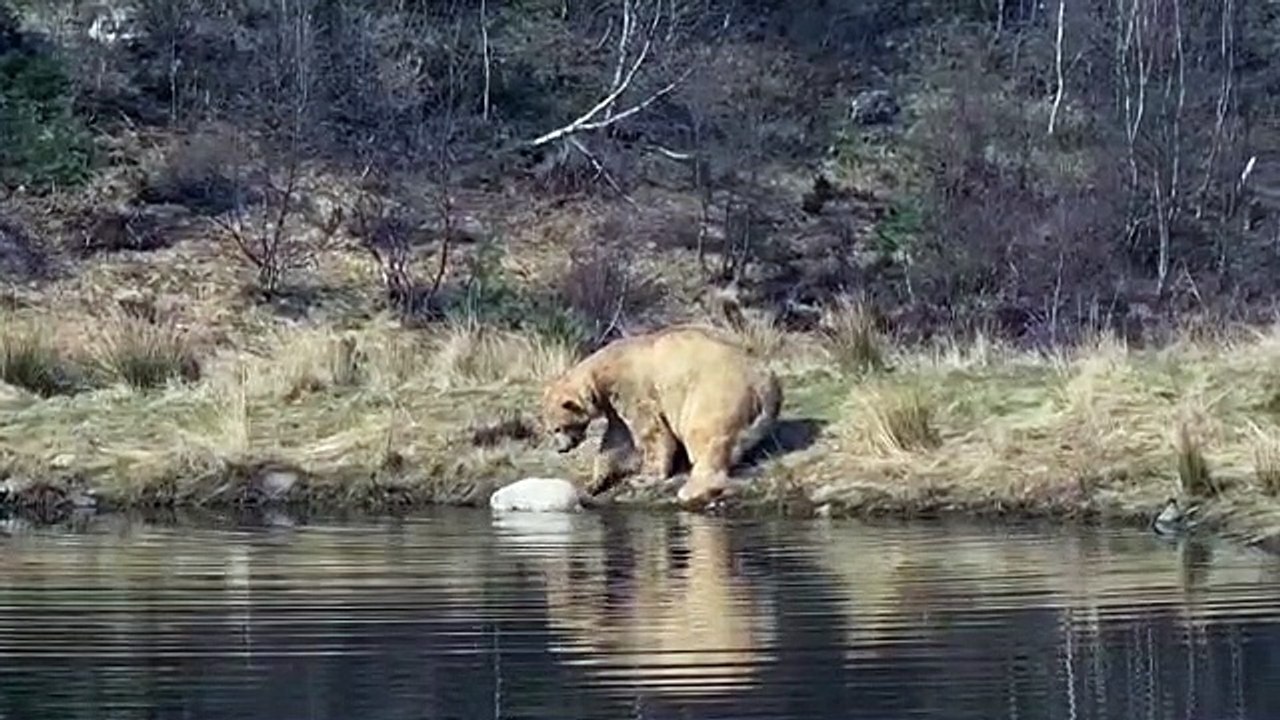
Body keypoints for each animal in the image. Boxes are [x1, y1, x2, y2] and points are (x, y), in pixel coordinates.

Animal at [538, 324, 783, 506]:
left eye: (557, 428)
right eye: (551, 430)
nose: (560, 449)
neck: (601, 374)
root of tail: (764, 381)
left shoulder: (632, 388)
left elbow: (651, 432)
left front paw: (644, 477)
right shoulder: (613, 403)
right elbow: (617, 441)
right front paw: (595, 482)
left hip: (715, 391)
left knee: (703, 433)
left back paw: (692, 488)